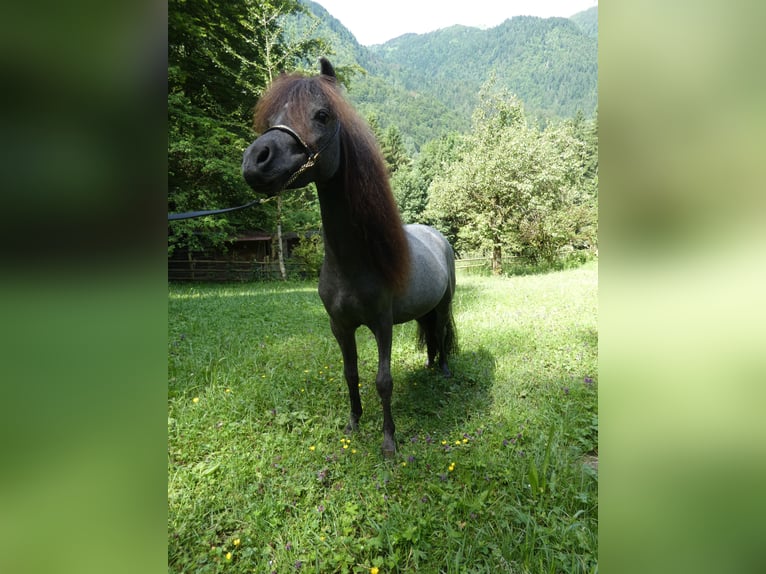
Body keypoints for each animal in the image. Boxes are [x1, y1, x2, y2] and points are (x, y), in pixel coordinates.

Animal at [243, 57, 456, 454]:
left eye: (322, 115)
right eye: (273, 116)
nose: (254, 160)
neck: (353, 262)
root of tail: (438, 236)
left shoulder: (382, 324)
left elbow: (383, 380)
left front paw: (388, 442)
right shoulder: (339, 326)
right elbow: (350, 373)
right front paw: (353, 423)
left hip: (444, 304)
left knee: (442, 331)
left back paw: (446, 370)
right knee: (431, 335)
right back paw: (431, 366)